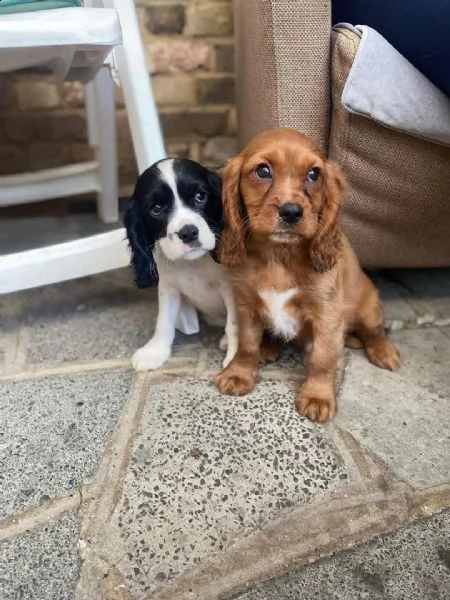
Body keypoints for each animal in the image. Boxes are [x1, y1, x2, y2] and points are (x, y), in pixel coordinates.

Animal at [123, 157, 239, 370]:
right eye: (156, 209)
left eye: (200, 196)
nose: (188, 233)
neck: (193, 264)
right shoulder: (169, 287)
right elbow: (164, 321)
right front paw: (154, 352)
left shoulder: (233, 287)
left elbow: (235, 324)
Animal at [215, 129, 400, 424]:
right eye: (262, 171)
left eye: (314, 175)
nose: (291, 212)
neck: (279, 255)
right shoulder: (247, 306)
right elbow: (247, 344)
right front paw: (239, 374)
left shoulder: (327, 314)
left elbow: (323, 358)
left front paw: (318, 396)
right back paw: (269, 348)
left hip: (369, 309)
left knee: (375, 332)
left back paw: (384, 352)